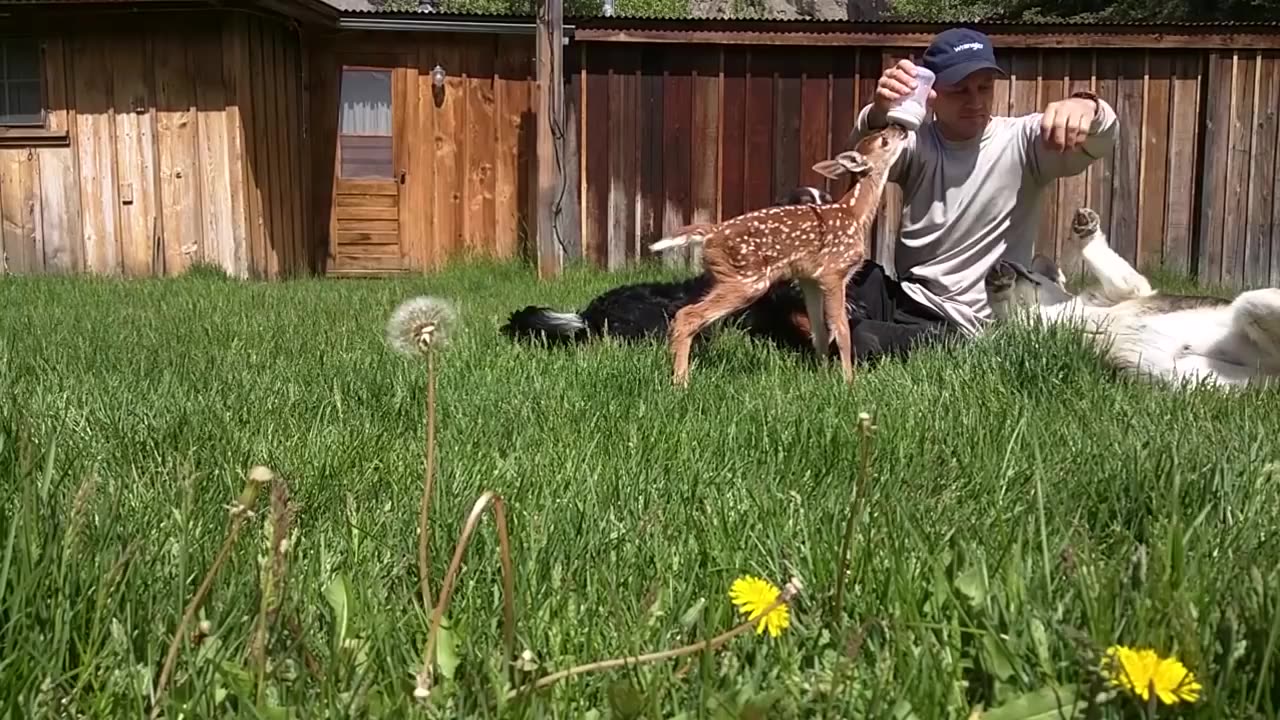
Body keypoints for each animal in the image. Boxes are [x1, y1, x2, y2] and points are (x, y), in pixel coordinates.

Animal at [988, 204, 1280, 389]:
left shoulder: (1127, 289)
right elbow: (1004, 309)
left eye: (1031, 269)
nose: (1010, 263)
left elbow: (1096, 254)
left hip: (1254, 302)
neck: (1051, 309)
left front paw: (1086, 230)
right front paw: (997, 283)